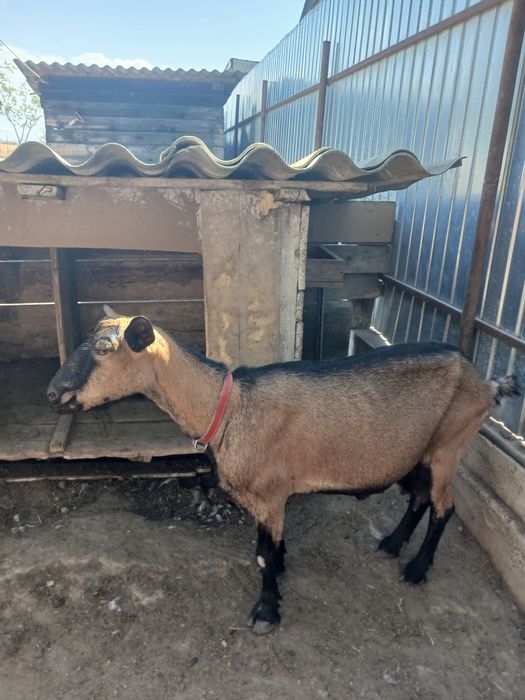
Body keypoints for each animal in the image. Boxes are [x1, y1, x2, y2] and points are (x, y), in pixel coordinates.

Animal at [47, 310, 519, 635]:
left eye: (104, 347)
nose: (52, 393)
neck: (229, 408)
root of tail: (486, 383)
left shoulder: (269, 495)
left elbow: (263, 555)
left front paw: (267, 610)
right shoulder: (269, 501)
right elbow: (269, 548)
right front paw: (283, 567)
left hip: (449, 445)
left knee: (444, 507)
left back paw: (417, 569)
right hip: (419, 451)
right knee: (419, 498)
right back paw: (390, 544)